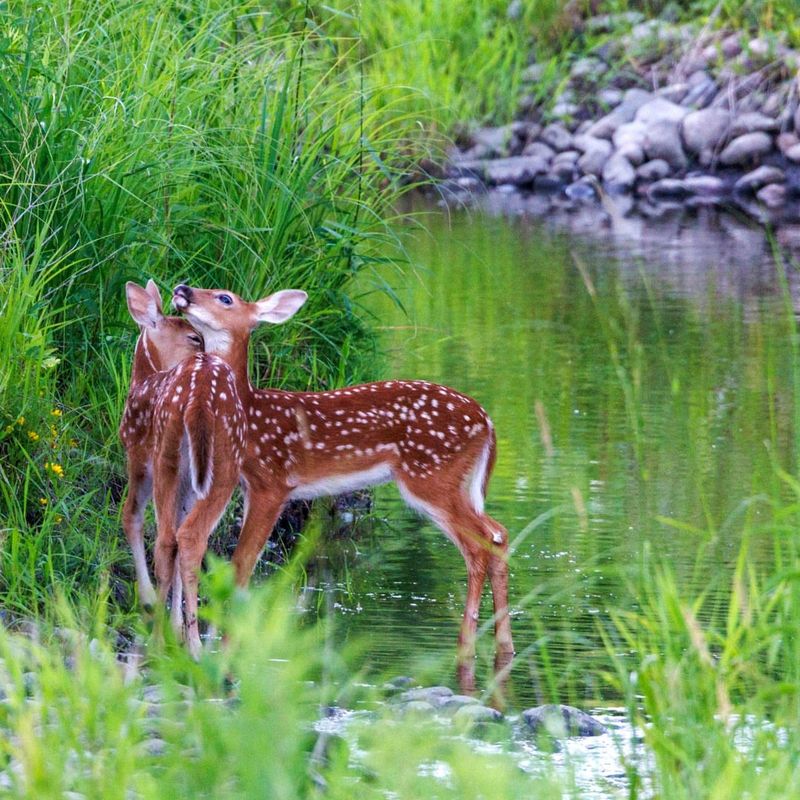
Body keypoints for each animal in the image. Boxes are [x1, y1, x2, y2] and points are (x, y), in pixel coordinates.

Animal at [121, 281, 246, 657]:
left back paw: (166, 637)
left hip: (170, 460)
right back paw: (192, 644)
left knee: (168, 539)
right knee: (184, 537)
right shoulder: (140, 457)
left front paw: (167, 619)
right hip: (219, 469)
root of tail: (199, 399)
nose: (205, 346)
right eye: (194, 337)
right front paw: (171, 621)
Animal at [171, 283, 515, 660]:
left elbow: (242, 563)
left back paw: (465, 645)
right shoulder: (250, 486)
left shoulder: (273, 481)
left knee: (478, 545)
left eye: (225, 298)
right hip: (460, 481)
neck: (250, 412)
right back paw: (504, 645)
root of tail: (487, 423)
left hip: (431, 475)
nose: (183, 289)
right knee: (498, 532)